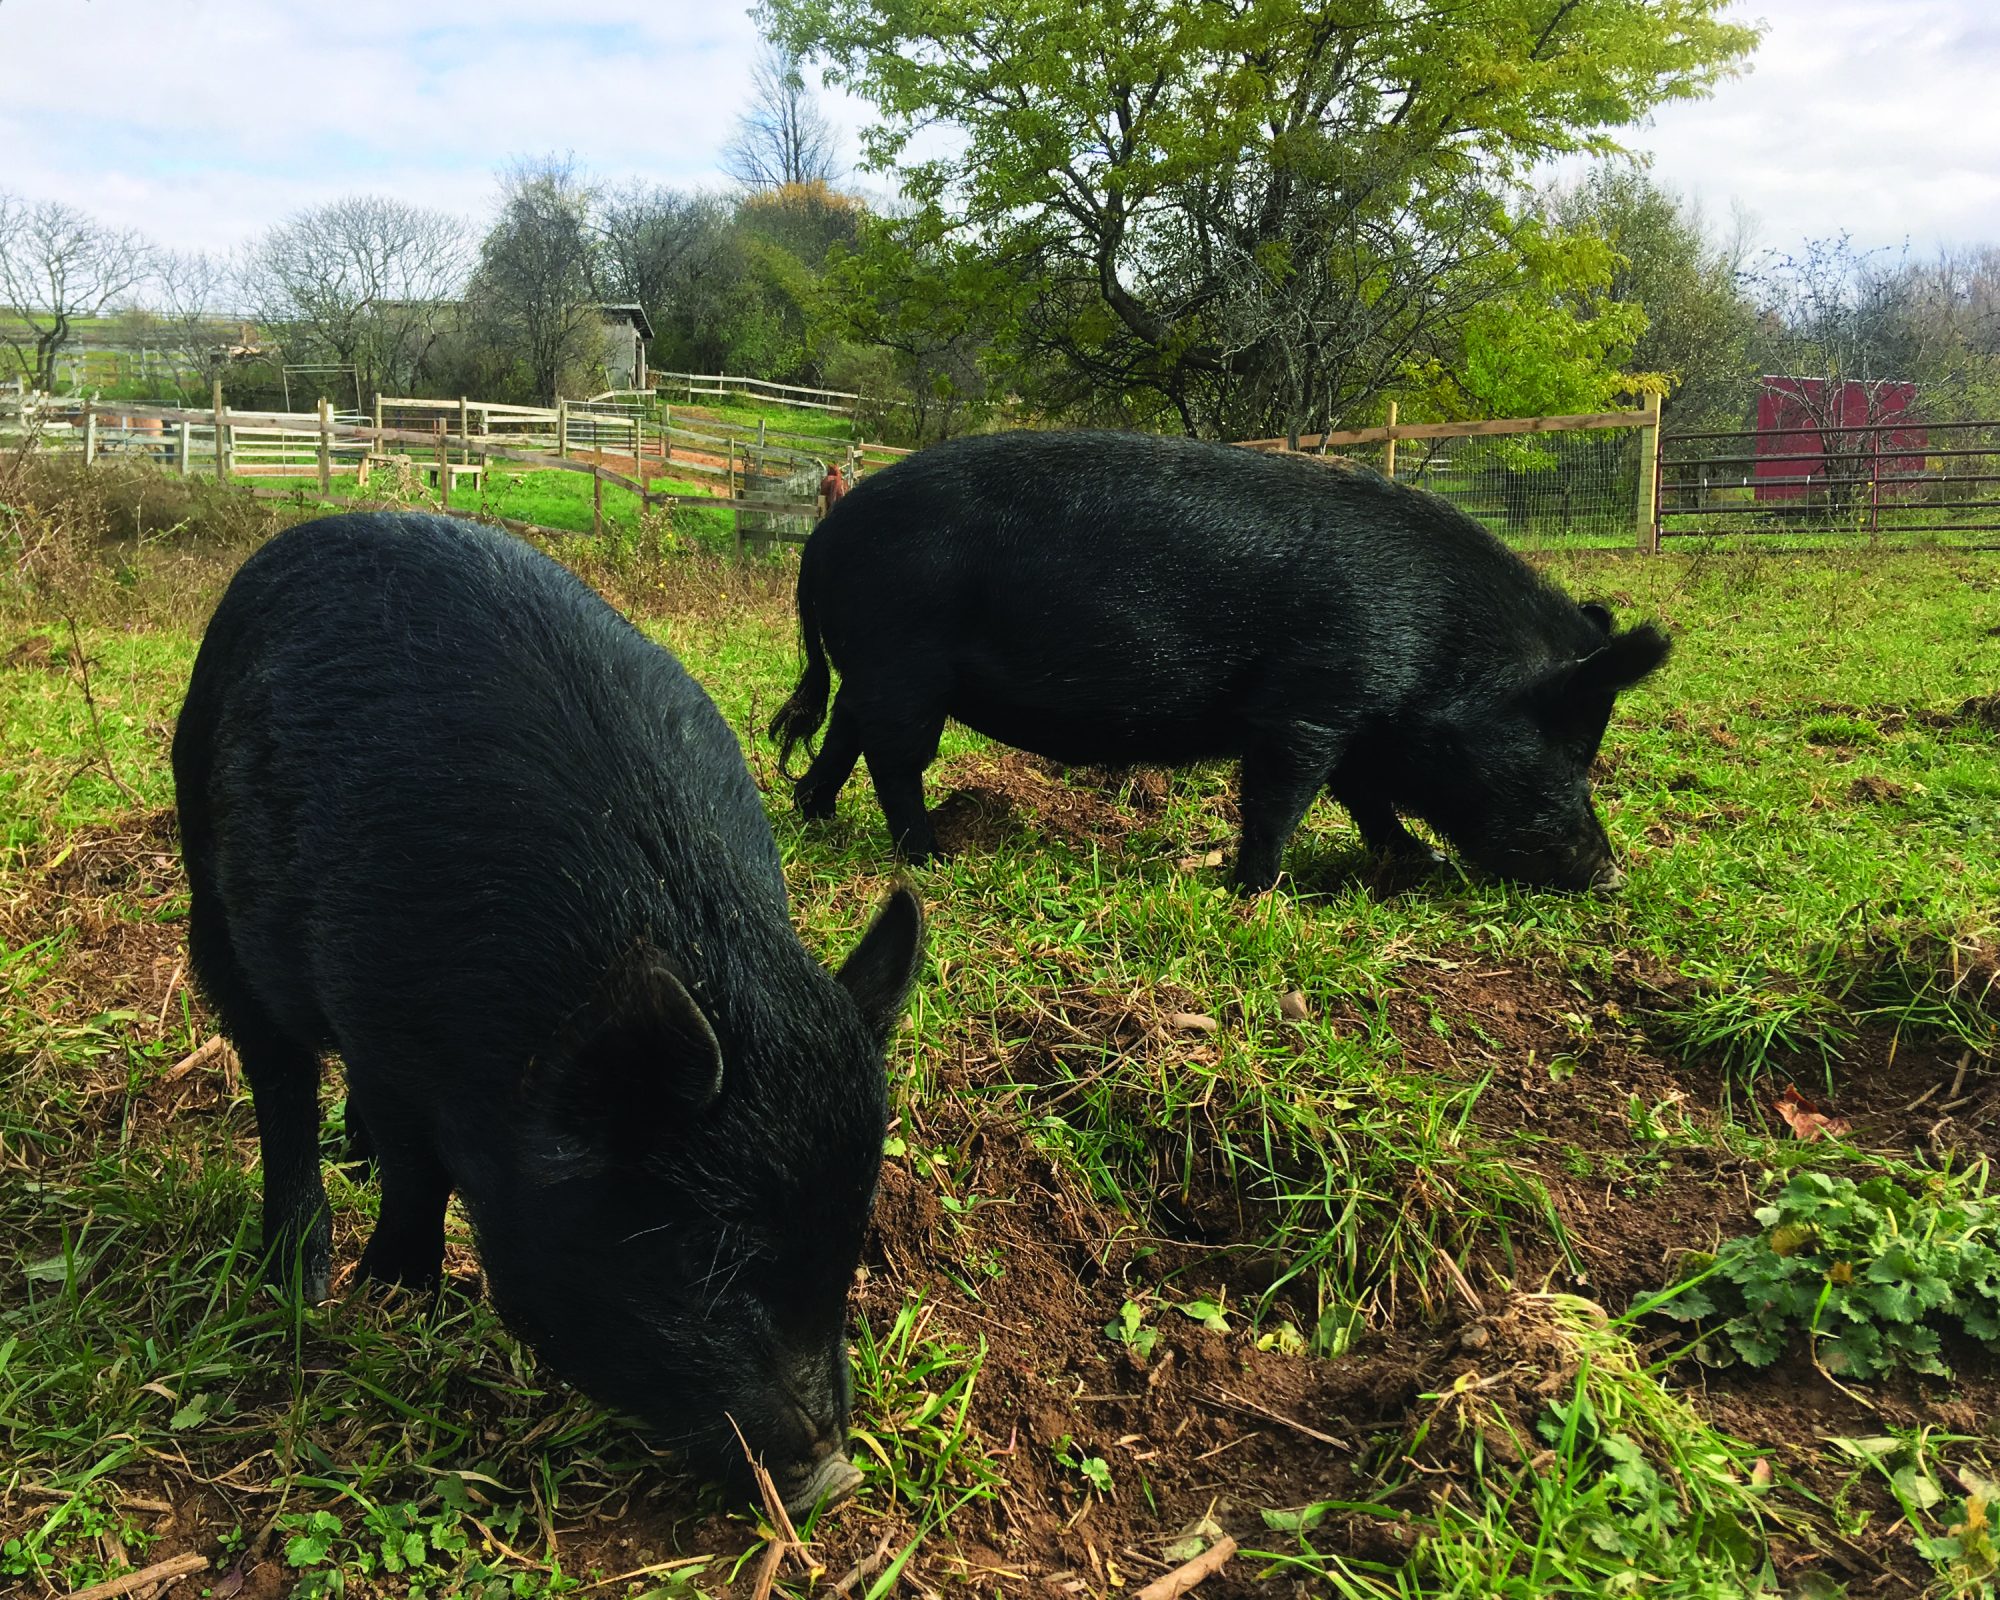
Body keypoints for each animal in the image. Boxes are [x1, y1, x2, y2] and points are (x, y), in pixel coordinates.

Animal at [772, 432, 1664, 892]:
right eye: (1565, 748)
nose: (1612, 873)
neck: (1442, 647)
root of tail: (822, 540)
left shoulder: (1356, 721)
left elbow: (1365, 796)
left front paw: (1418, 859)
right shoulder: (1311, 702)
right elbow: (1282, 798)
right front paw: (1255, 891)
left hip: (874, 669)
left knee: (845, 730)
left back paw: (816, 816)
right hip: (905, 663)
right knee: (895, 759)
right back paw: (931, 858)